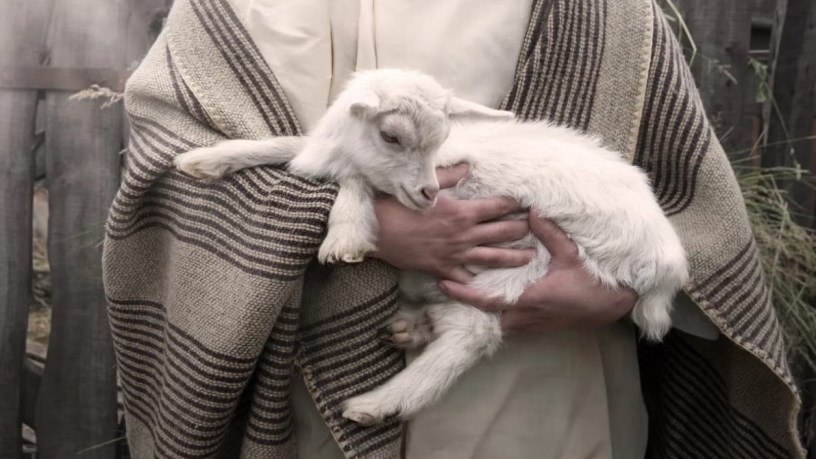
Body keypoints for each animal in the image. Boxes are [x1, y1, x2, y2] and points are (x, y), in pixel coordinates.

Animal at [174, 68, 689, 426]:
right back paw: (412, 328)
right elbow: (292, 144)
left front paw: (346, 233)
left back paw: (379, 402)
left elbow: (356, 180)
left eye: (439, 139)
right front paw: (206, 159)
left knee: (476, 331)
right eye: (391, 135)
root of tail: (668, 267)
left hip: (538, 259)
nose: (428, 194)